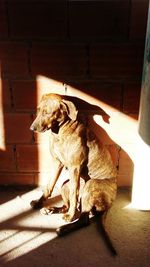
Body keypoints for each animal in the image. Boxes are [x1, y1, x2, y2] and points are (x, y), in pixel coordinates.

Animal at [30, 93, 117, 250]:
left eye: (47, 113)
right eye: (38, 110)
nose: (32, 128)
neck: (60, 131)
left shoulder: (75, 167)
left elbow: (73, 194)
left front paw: (71, 217)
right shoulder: (56, 162)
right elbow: (49, 186)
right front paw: (39, 202)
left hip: (91, 185)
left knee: (84, 218)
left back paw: (64, 227)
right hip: (65, 184)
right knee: (70, 205)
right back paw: (51, 210)